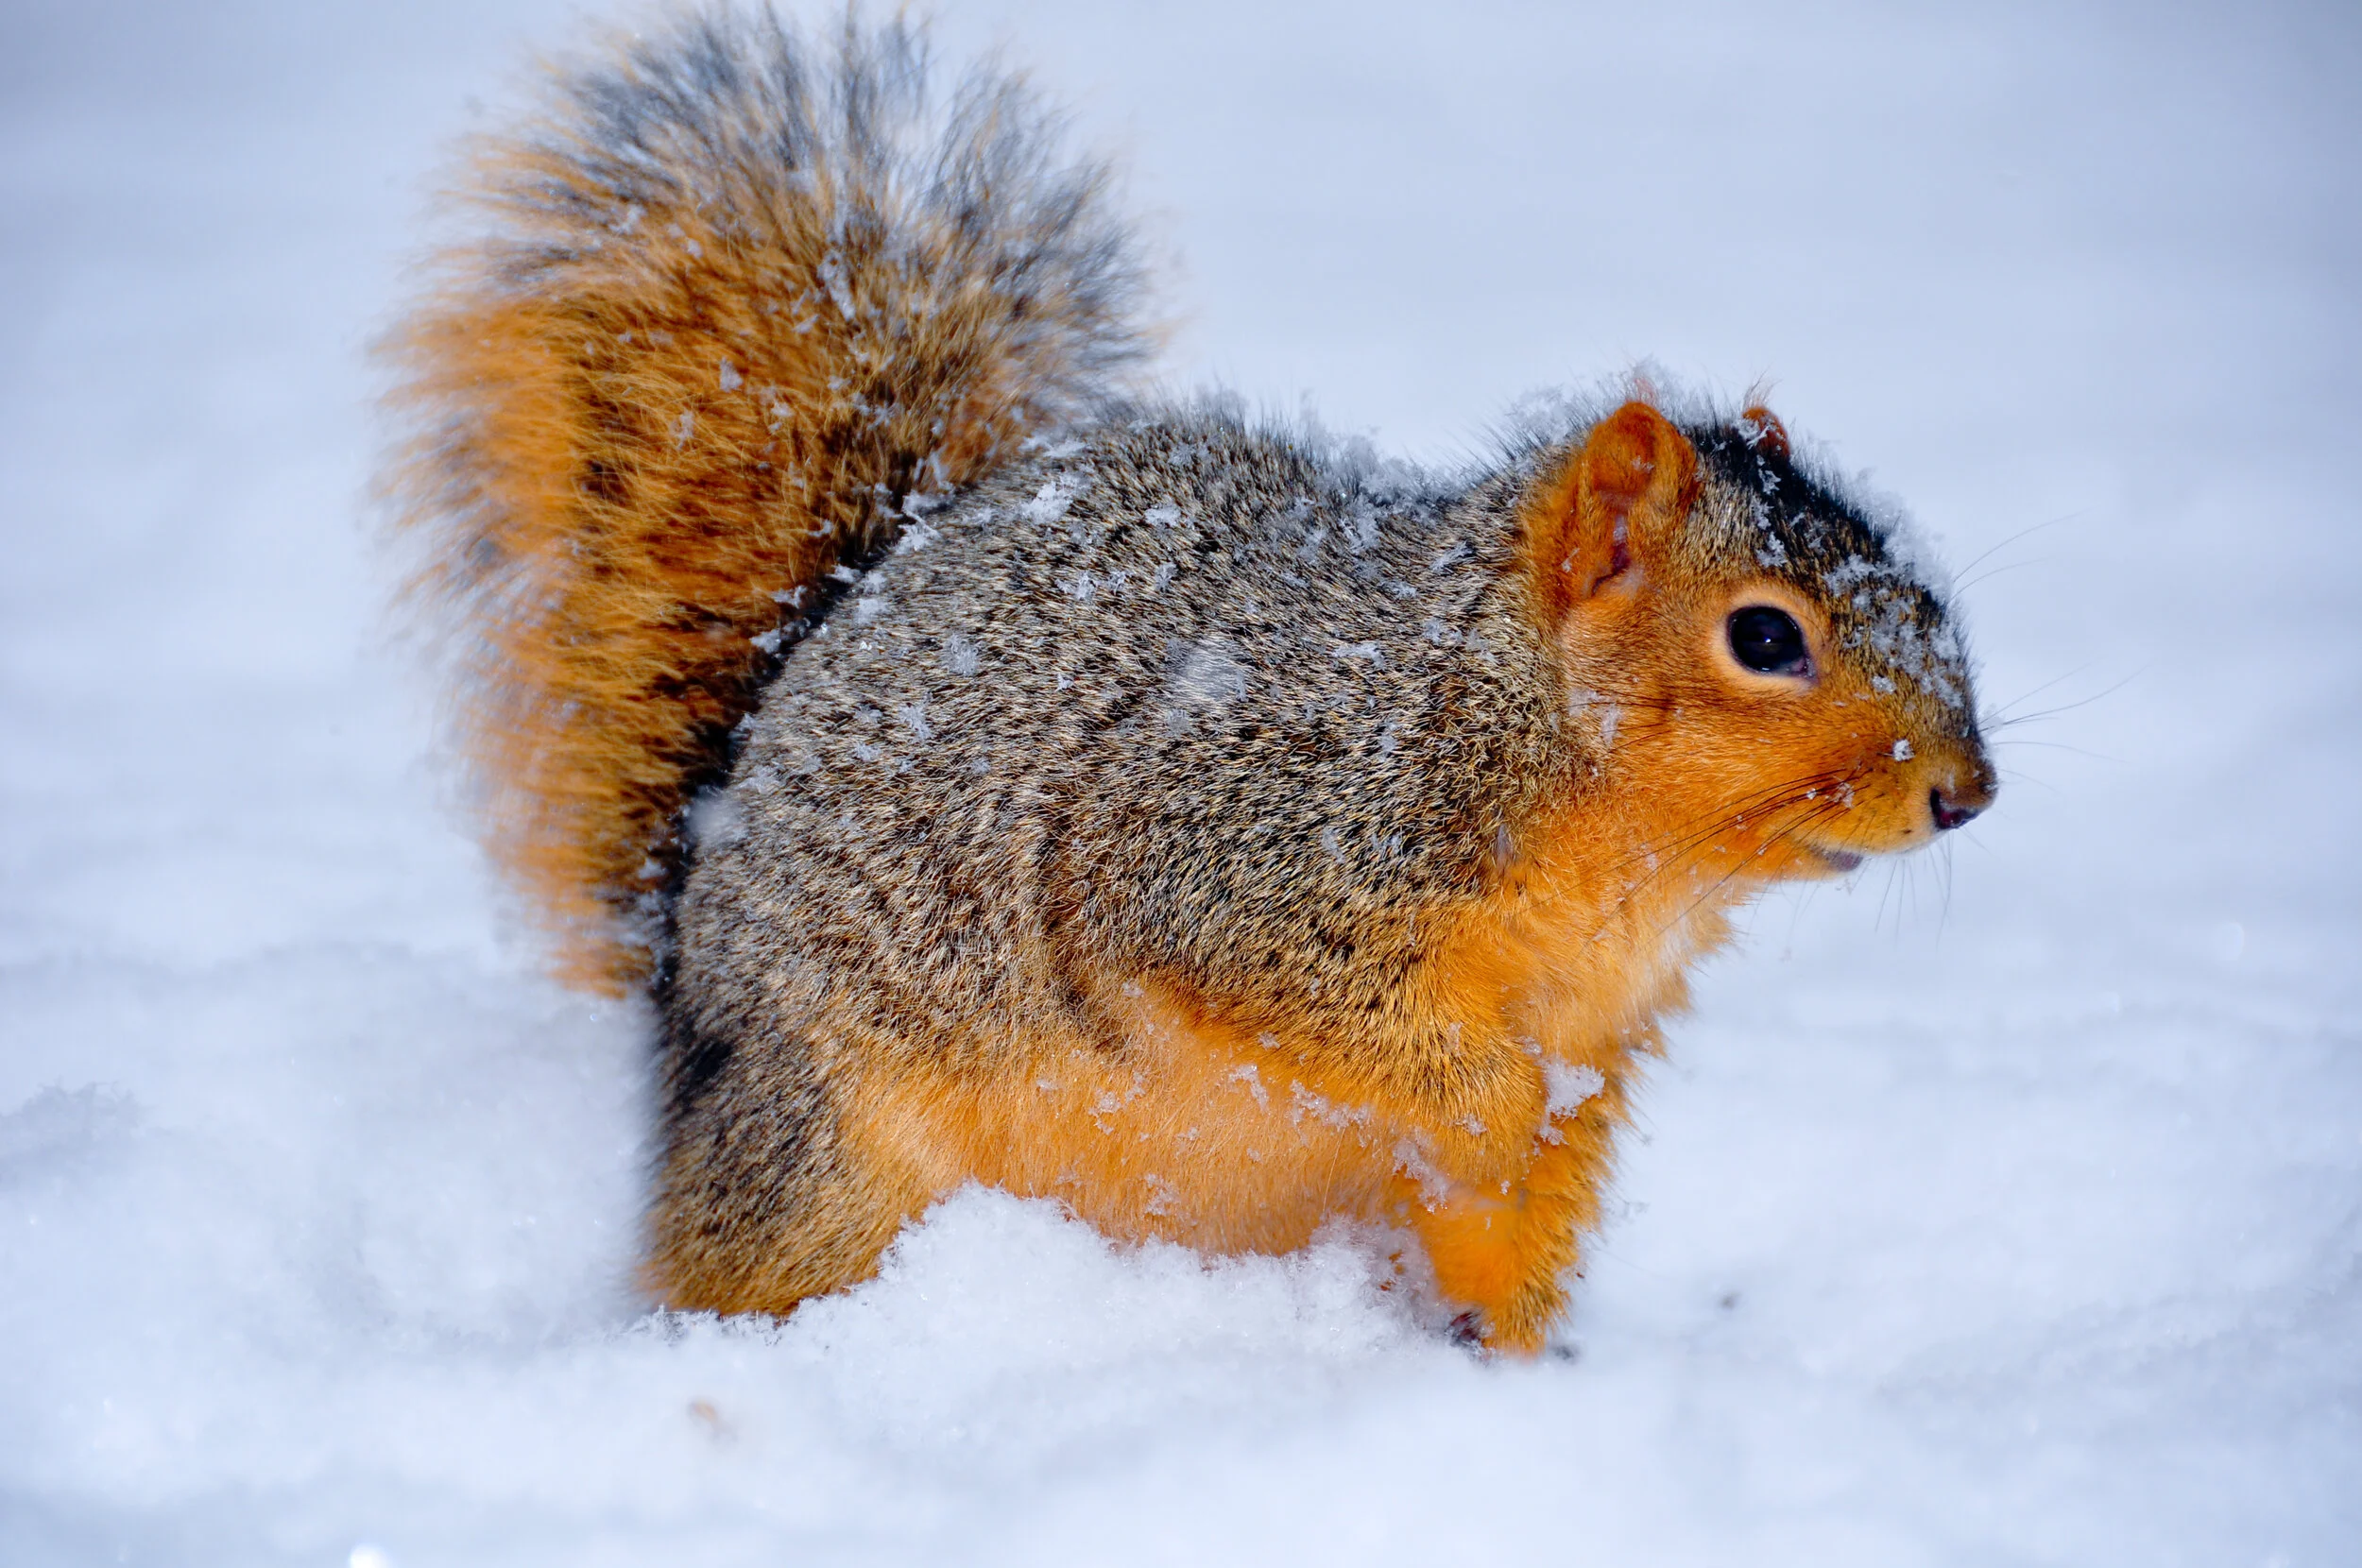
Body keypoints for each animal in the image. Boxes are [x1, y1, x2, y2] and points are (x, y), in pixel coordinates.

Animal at [383, 7, 1996, 1354]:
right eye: (1767, 638)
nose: (1967, 795)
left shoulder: (1601, 1040)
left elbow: (1521, 1216)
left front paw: (1519, 1366)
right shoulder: (1239, 845)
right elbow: (1315, 1004)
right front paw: (1488, 1105)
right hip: (831, 1146)